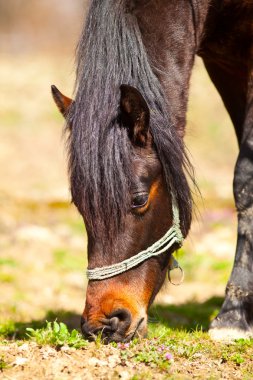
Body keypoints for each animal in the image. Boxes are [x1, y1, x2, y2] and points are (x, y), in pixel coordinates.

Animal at [51, 0, 253, 342]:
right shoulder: (226, 65)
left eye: (139, 199)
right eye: (80, 205)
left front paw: (234, 315)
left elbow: (245, 180)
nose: (104, 324)